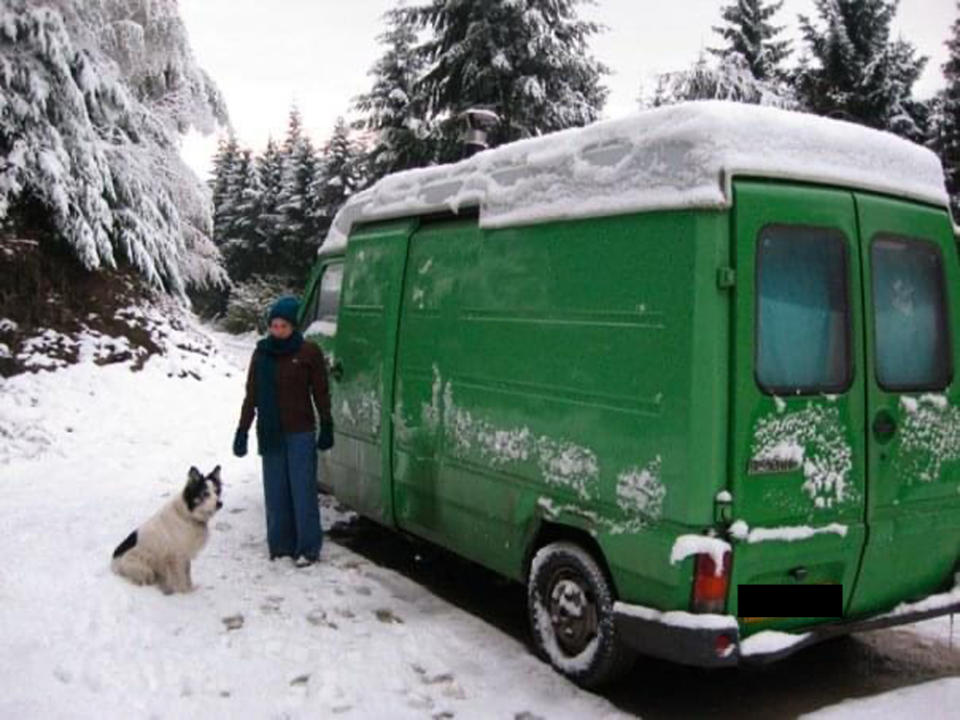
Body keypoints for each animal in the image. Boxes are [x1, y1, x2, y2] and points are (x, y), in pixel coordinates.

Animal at [112, 464, 223, 592]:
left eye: (217, 491)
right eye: (205, 493)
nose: (220, 503)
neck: (187, 515)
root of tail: (113, 563)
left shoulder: (185, 555)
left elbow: (187, 575)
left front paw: (190, 588)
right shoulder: (177, 557)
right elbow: (182, 577)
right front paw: (186, 592)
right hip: (144, 570)